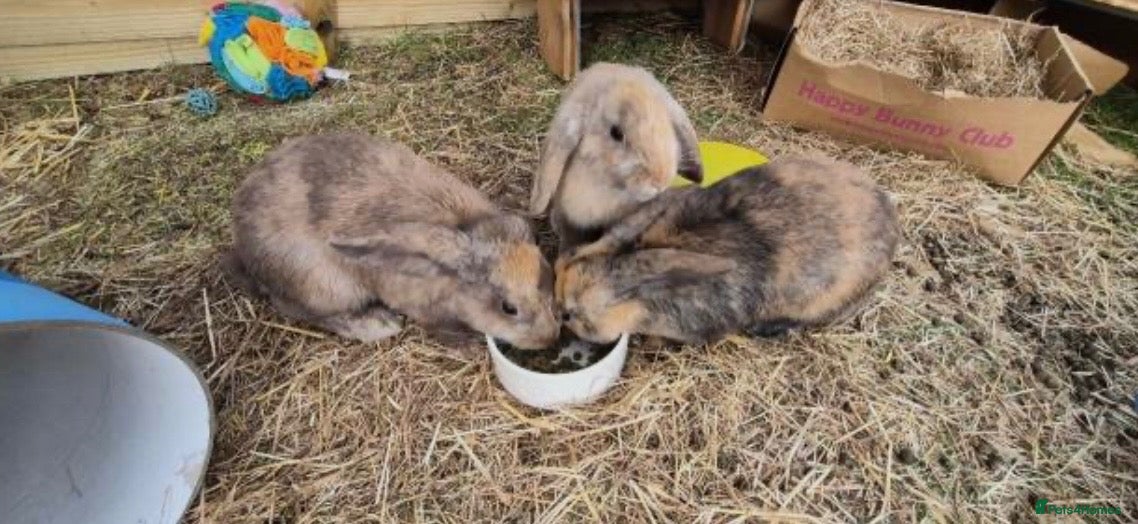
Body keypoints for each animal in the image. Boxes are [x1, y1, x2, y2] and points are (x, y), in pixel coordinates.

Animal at [223, 132, 561, 350]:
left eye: (549, 278)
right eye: (508, 308)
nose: (549, 338)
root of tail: (242, 246)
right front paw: (470, 344)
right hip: (322, 284)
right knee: (299, 310)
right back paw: (378, 326)